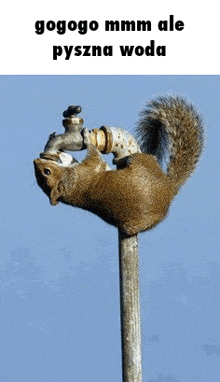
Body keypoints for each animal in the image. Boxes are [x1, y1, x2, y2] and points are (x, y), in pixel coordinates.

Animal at [33, 95, 204, 236]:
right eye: (47, 172)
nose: (36, 161)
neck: (70, 182)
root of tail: (169, 188)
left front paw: (57, 145)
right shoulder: (89, 168)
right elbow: (94, 155)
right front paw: (87, 139)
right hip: (140, 161)